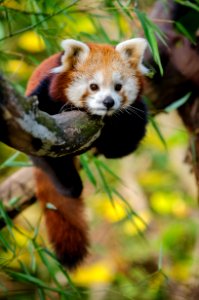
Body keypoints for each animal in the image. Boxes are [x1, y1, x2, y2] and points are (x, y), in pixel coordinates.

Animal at [25, 38, 148, 270]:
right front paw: (70, 185)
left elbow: (126, 142)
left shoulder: (135, 114)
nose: (108, 102)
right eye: (93, 86)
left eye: (118, 87)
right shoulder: (43, 98)